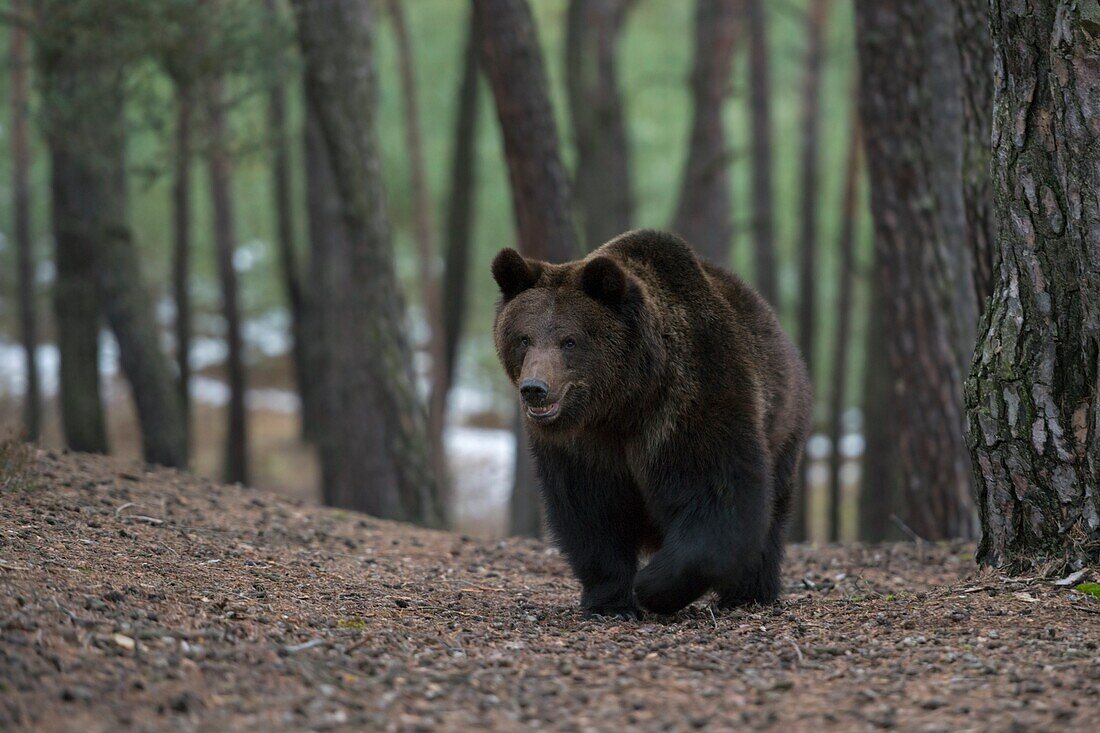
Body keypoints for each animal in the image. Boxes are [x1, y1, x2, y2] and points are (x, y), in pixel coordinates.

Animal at [495, 228, 814, 616]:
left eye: (569, 340)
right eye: (523, 338)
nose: (534, 389)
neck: (624, 400)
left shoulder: (690, 404)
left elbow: (719, 495)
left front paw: (651, 586)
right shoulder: (581, 446)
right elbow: (590, 514)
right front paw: (611, 600)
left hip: (783, 425)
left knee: (771, 514)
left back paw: (748, 592)